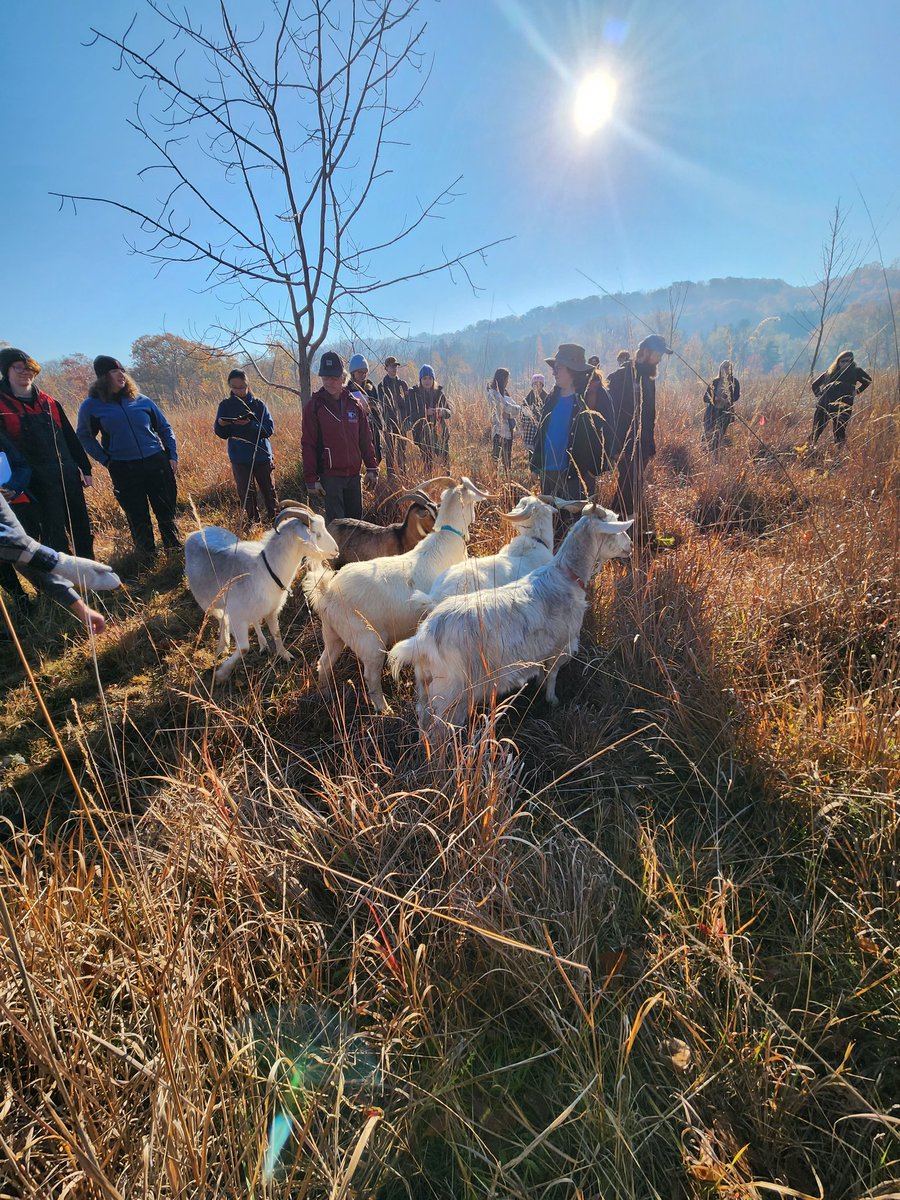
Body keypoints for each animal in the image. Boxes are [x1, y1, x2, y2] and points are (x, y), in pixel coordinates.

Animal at [186, 501, 338, 684]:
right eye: (317, 534)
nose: (336, 550)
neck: (266, 568)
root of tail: (193, 534)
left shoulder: (272, 610)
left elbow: (276, 633)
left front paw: (285, 655)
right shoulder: (238, 618)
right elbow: (244, 648)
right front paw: (221, 674)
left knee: (250, 620)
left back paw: (262, 644)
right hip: (209, 603)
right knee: (221, 618)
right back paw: (223, 645)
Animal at [302, 476, 492, 712]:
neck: (446, 540)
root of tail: (328, 591)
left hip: (332, 634)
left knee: (324, 663)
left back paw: (326, 694)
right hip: (370, 642)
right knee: (371, 677)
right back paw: (385, 709)